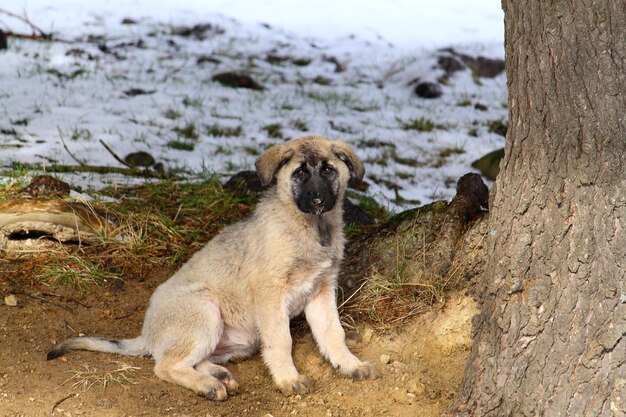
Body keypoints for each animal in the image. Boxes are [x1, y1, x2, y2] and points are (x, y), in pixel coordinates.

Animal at [47, 136, 376, 400]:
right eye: (300, 173)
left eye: (328, 170)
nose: (318, 200)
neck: (312, 228)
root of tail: (148, 333)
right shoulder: (271, 294)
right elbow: (282, 341)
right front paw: (288, 379)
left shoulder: (322, 289)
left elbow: (333, 333)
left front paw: (349, 364)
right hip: (205, 311)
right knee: (164, 365)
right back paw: (208, 385)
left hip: (236, 339)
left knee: (190, 359)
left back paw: (218, 375)